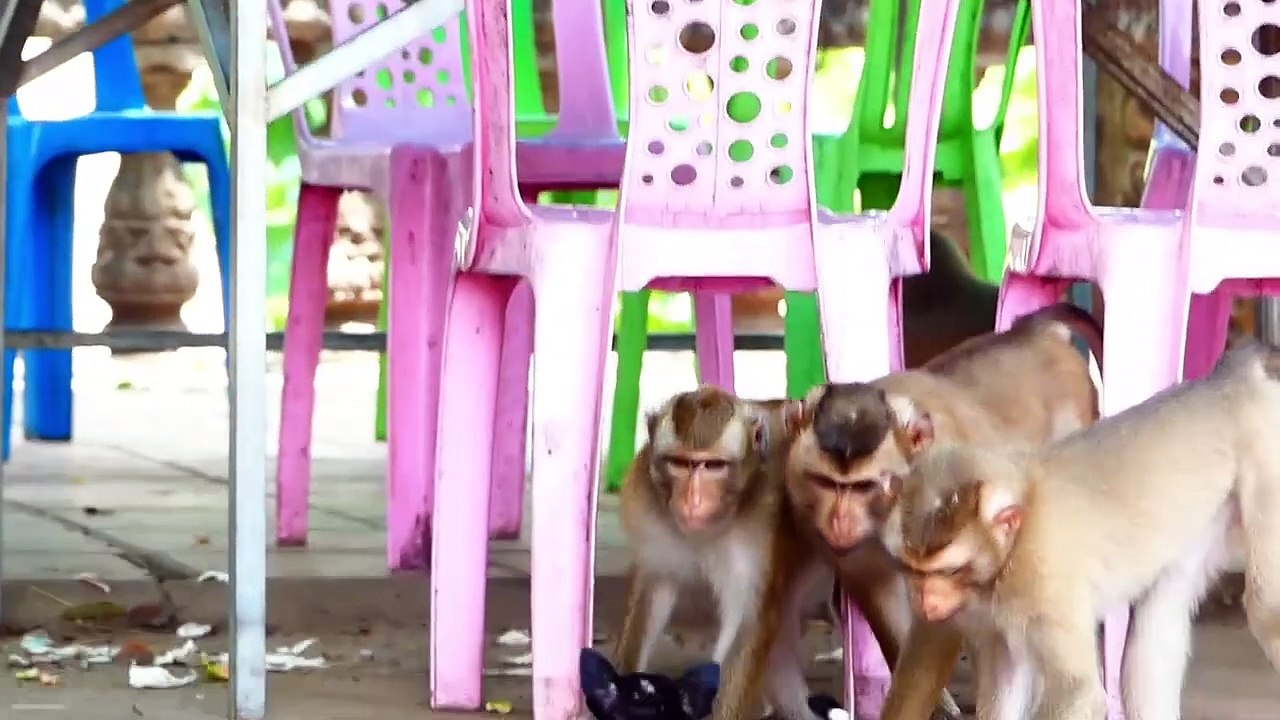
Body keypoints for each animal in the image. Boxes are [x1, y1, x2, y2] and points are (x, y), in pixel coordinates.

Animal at [878, 338, 1280, 720]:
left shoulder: (1042, 581)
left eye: (948, 571)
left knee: (1265, 610)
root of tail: (1230, 380)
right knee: (1155, 629)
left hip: (1264, 456)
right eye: (915, 571)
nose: (923, 598)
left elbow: (1078, 691)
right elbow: (1006, 676)